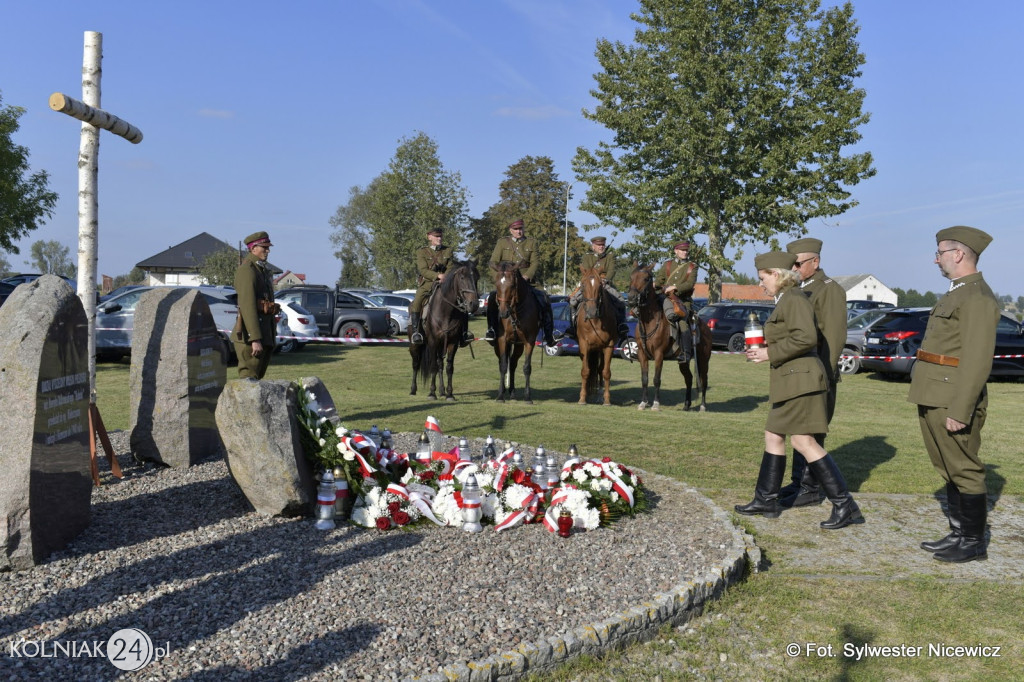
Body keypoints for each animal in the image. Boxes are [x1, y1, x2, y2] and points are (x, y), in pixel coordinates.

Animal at [407, 259, 479, 399]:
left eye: (477, 278)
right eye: (462, 277)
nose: (474, 304)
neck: (446, 311)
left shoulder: (452, 342)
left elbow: (449, 367)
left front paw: (449, 394)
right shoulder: (433, 341)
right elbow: (433, 366)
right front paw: (431, 393)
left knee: (440, 363)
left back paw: (441, 390)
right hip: (416, 345)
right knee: (416, 363)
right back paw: (413, 389)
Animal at [489, 259, 540, 399]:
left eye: (512, 285)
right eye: (496, 284)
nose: (502, 313)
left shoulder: (529, 341)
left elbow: (527, 367)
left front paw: (527, 397)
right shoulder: (502, 340)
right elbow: (502, 365)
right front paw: (500, 396)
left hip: (518, 345)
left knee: (512, 364)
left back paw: (512, 391)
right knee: (503, 362)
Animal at [577, 266, 614, 403]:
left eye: (599, 285)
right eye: (583, 284)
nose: (592, 312)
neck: (595, 321)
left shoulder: (609, 345)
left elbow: (606, 372)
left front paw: (607, 400)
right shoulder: (584, 345)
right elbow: (585, 371)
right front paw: (582, 398)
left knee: (599, 369)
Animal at [622, 261, 712, 409]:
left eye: (646, 278)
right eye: (631, 277)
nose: (631, 299)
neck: (649, 322)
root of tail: (706, 328)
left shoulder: (659, 354)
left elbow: (656, 379)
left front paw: (655, 404)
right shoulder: (642, 354)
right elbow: (645, 379)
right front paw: (643, 403)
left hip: (703, 360)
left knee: (703, 380)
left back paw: (703, 406)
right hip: (684, 362)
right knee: (689, 379)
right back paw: (686, 405)